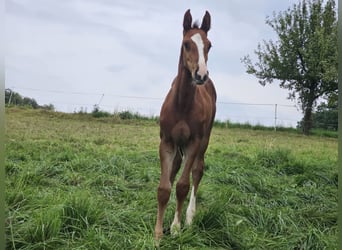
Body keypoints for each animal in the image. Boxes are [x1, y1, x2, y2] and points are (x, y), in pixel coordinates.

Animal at [155, 9, 216, 240]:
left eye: (209, 45)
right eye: (186, 44)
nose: (201, 74)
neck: (182, 104)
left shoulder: (193, 143)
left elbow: (182, 185)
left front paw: (175, 227)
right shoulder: (167, 141)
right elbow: (164, 188)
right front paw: (157, 233)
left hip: (204, 140)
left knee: (197, 171)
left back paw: (189, 217)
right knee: (175, 169)